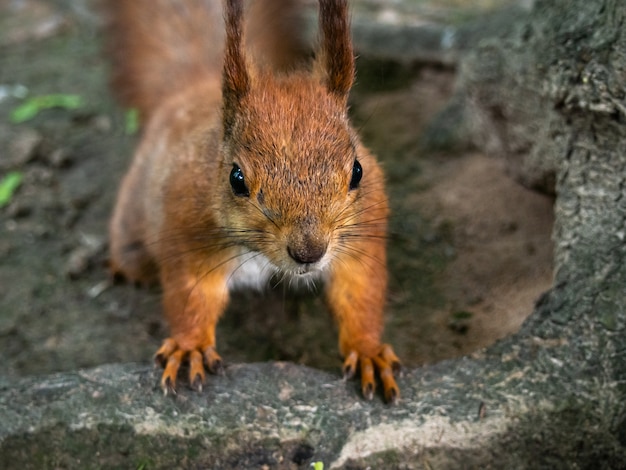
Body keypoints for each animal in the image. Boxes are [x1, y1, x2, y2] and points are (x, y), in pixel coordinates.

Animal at [106, 0, 400, 404]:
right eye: (237, 178)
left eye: (357, 171)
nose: (309, 253)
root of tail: (188, 94)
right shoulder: (187, 233)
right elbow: (191, 296)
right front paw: (189, 346)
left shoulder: (362, 234)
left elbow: (358, 290)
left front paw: (368, 351)